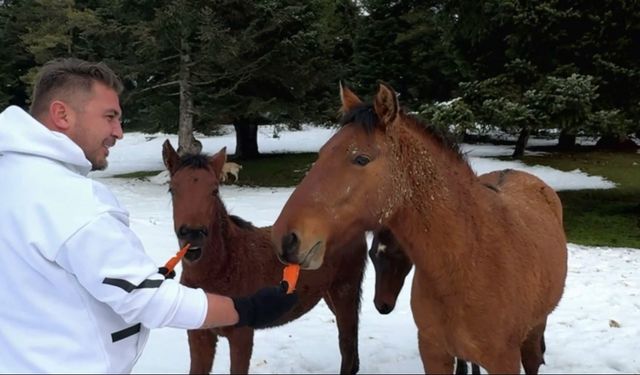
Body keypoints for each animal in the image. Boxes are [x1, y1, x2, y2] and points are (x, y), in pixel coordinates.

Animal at [162, 140, 368, 374]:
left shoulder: (242, 336)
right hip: (329, 293)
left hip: (345, 290)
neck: (224, 266)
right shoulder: (199, 335)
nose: (193, 234)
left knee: (347, 345)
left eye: (214, 190)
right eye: (172, 189)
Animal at [268, 83, 564, 374]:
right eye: (321, 154)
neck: (468, 261)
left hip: (534, 333)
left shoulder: (503, 360)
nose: (285, 238)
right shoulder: (434, 353)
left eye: (361, 159)